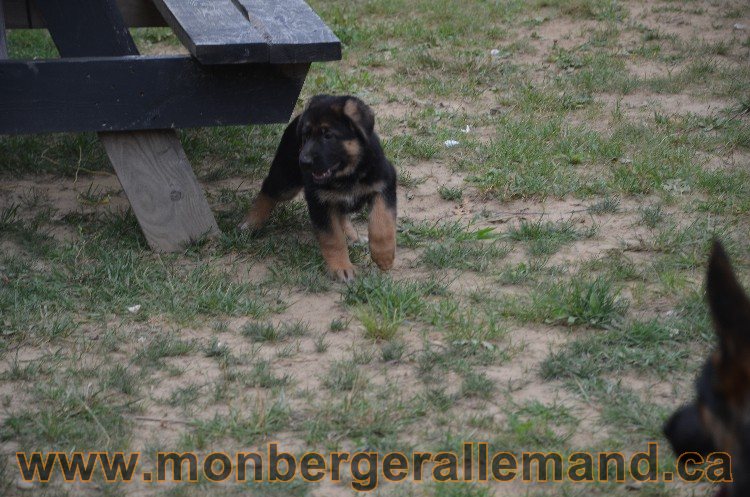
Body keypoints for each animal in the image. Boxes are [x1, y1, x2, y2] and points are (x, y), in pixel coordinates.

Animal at [241, 95, 400, 280]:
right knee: (267, 191)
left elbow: (382, 224)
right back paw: (250, 223)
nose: (303, 162)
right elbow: (333, 238)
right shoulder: (319, 201)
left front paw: (384, 257)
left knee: (341, 214)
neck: (347, 174)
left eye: (328, 135)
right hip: (286, 180)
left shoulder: (384, 184)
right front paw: (341, 267)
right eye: (306, 135)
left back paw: (351, 236)